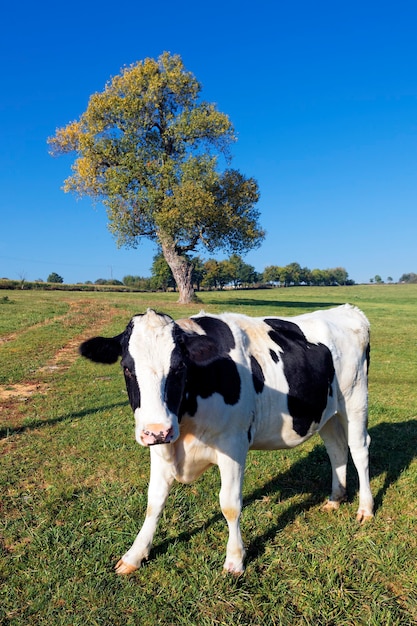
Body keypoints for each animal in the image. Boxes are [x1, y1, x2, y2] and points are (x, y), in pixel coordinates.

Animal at [79, 304, 372, 572]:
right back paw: (335, 498)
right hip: (326, 412)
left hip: (355, 400)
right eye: (127, 368)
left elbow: (230, 505)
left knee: (359, 450)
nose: (157, 431)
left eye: (179, 367)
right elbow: (154, 501)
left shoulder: (233, 444)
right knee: (336, 449)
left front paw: (234, 559)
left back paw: (366, 508)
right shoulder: (161, 448)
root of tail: (347, 309)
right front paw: (134, 555)